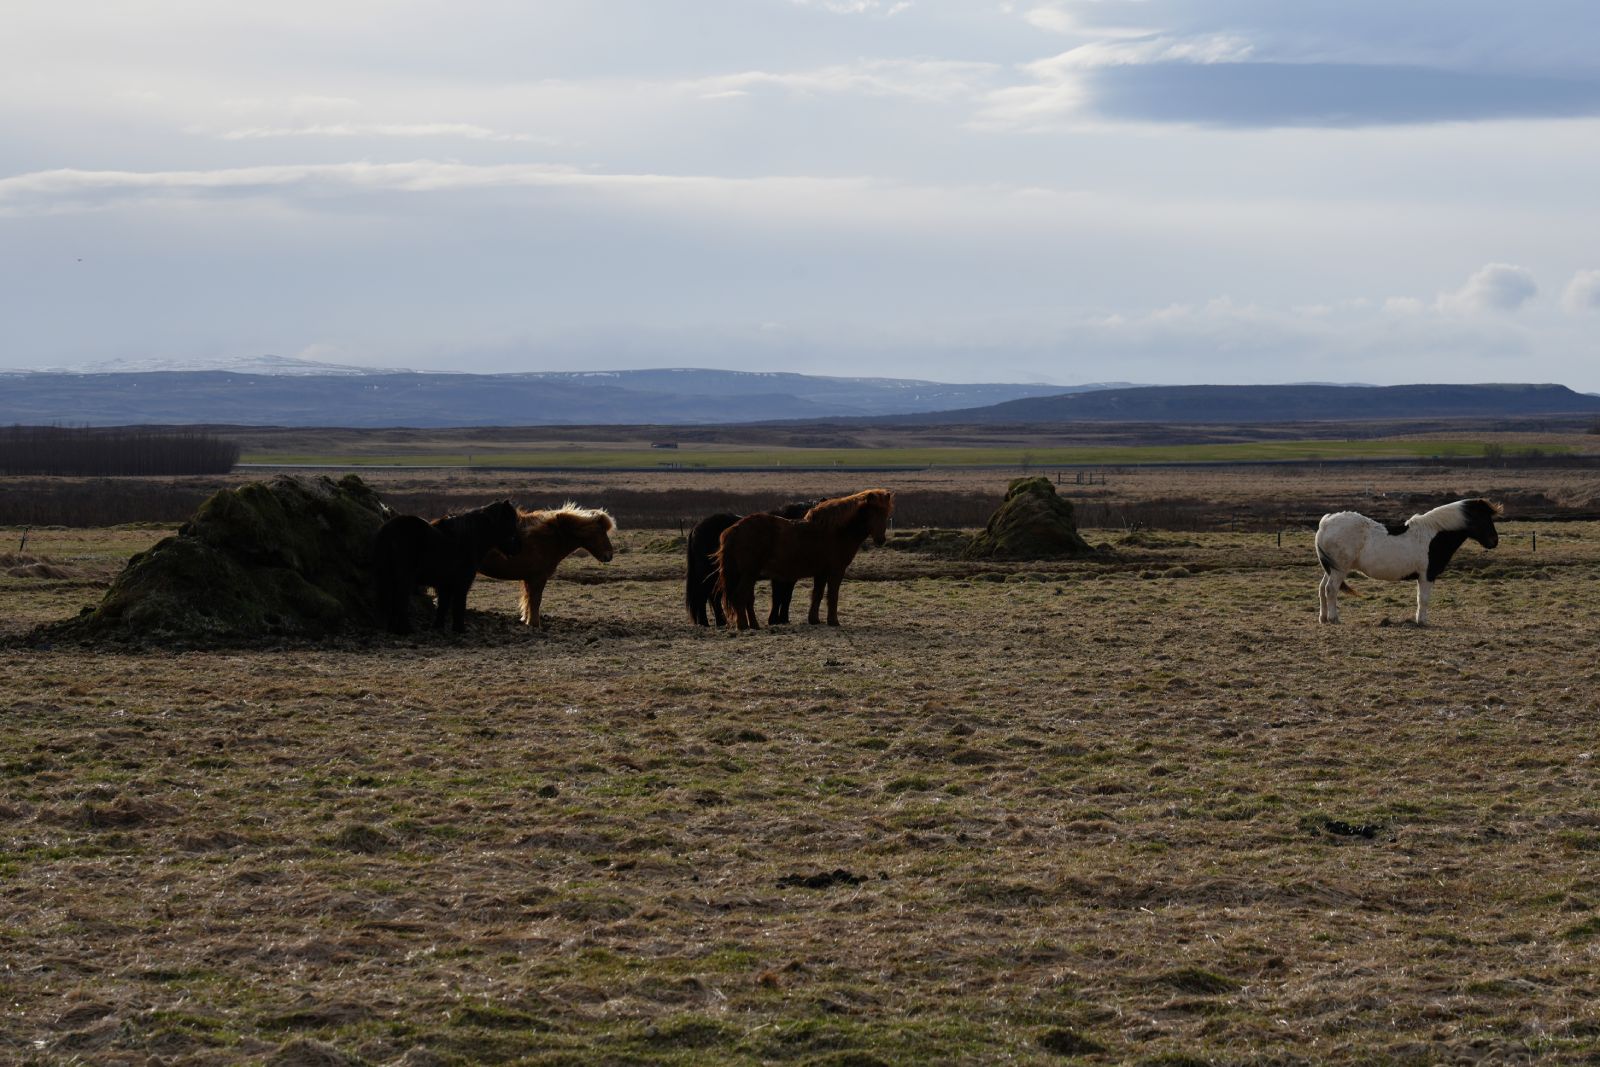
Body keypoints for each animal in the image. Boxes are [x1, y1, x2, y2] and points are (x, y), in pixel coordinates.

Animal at [374, 499, 521, 634]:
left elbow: (443, 606)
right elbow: (459, 605)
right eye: (510, 522)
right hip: (405, 579)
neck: (470, 538)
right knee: (401, 600)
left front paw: (438, 627)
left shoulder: (444, 584)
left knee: (392, 601)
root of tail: (388, 530)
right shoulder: (462, 583)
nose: (517, 549)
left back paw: (393, 629)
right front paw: (460, 629)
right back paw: (406, 630)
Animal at [477, 503, 615, 628]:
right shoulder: (538, 578)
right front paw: (534, 624)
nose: (609, 555)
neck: (547, 539)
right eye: (600, 531)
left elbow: (528, 600)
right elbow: (535, 600)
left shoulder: (529, 578)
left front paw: (526, 620)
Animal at [685, 501, 816, 627]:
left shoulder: (789, 578)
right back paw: (705, 622)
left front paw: (782, 619)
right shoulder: (780, 578)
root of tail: (695, 528)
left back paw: (719, 622)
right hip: (707, 574)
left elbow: (786, 597)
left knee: (712, 597)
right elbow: (778, 597)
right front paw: (775, 619)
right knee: (703, 596)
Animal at [715, 489, 894, 630]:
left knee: (748, 598)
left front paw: (814, 619)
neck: (837, 531)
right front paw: (833, 621)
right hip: (749, 573)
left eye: (886, 513)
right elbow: (833, 595)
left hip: (749, 575)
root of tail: (734, 529)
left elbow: (818, 595)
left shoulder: (821, 573)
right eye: (874, 512)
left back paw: (754, 625)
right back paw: (743, 626)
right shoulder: (836, 571)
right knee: (740, 595)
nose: (881, 540)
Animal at [1315, 498, 1501, 625]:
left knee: (1322, 588)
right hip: (1339, 570)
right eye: (1483, 518)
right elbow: (1423, 599)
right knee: (1331, 589)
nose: (1494, 541)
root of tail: (1325, 523)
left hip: (1331, 569)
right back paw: (1334, 618)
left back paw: (1323, 618)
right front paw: (1422, 621)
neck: (1434, 536)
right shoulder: (1427, 575)